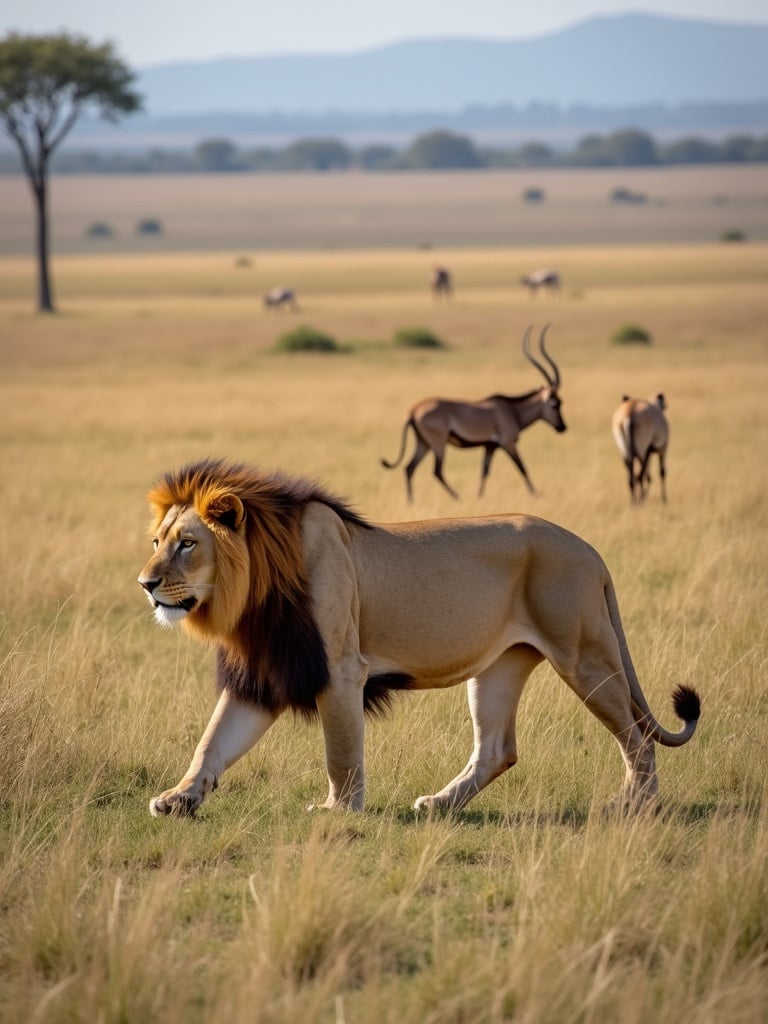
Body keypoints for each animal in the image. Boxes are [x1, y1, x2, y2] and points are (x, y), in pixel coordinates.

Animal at [138, 460, 704, 819]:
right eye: (157, 541)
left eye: (188, 544)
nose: (145, 583)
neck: (252, 594)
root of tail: (590, 549)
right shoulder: (262, 674)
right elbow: (213, 742)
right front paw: (179, 799)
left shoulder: (340, 668)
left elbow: (340, 750)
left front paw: (338, 810)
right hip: (499, 668)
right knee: (498, 748)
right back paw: (438, 804)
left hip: (585, 657)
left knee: (636, 737)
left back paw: (632, 807)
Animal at [382, 323, 569, 499]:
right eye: (556, 403)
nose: (562, 427)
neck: (512, 409)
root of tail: (413, 410)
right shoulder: (508, 444)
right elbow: (522, 468)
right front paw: (536, 494)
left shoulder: (490, 447)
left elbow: (484, 472)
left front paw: (480, 497)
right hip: (438, 444)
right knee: (437, 471)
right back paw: (458, 498)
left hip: (424, 443)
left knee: (409, 468)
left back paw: (411, 501)